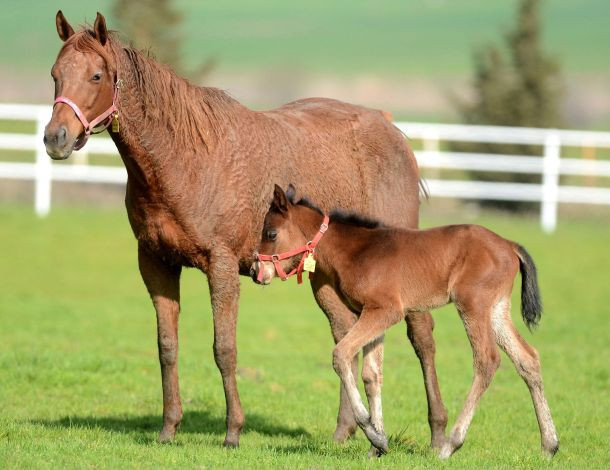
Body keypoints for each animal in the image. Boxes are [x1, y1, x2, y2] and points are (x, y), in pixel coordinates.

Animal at [41, 11, 442, 448]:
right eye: (55, 74)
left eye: (96, 76)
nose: (55, 138)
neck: (184, 159)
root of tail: (390, 128)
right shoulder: (156, 263)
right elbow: (167, 347)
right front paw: (169, 428)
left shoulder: (221, 266)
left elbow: (224, 349)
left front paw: (233, 431)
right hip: (325, 277)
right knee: (345, 334)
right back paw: (344, 430)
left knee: (421, 335)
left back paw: (439, 432)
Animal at [251, 185, 556, 458]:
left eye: (271, 233)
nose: (256, 271)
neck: (357, 251)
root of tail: (509, 245)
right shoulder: (372, 313)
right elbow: (372, 375)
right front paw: (378, 445)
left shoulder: (386, 311)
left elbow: (341, 355)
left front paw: (371, 432)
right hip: (497, 309)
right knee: (527, 359)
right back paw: (549, 445)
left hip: (473, 305)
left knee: (487, 360)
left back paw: (450, 445)